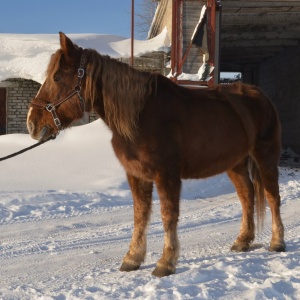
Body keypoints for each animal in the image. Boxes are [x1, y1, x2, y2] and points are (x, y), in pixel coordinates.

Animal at [27, 32, 284, 276]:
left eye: (57, 77)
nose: (32, 123)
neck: (141, 116)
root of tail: (260, 96)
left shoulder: (166, 175)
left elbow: (168, 215)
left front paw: (166, 262)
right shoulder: (136, 174)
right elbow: (140, 215)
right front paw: (133, 258)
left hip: (265, 157)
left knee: (272, 197)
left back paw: (277, 242)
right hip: (236, 163)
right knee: (247, 195)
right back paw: (243, 240)